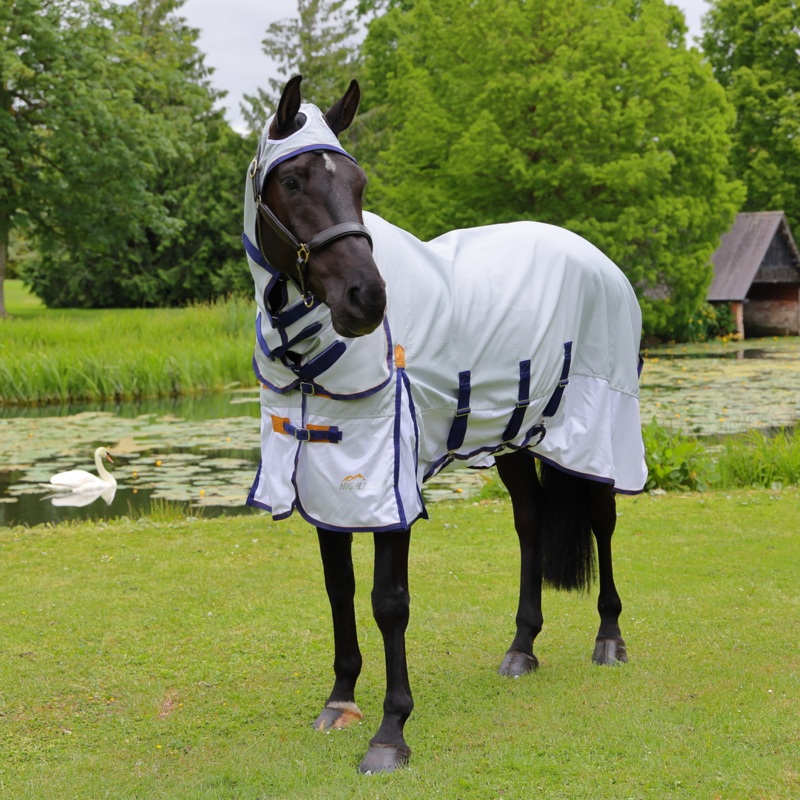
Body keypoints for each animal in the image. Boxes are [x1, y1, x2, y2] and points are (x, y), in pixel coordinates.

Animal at [243, 75, 647, 774]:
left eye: (359, 182)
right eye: (291, 181)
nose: (367, 299)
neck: (309, 355)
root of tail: (598, 259)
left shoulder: (390, 478)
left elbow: (389, 601)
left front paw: (390, 733)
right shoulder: (324, 474)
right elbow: (339, 589)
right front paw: (340, 700)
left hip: (598, 434)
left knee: (604, 519)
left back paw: (609, 639)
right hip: (515, 437)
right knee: (530, 522)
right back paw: (522, 647)